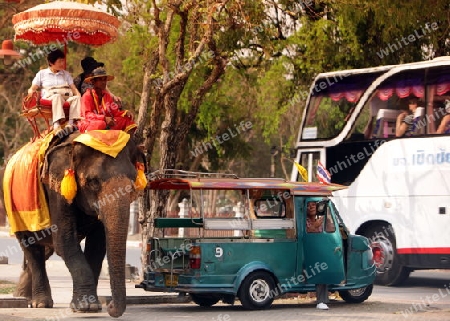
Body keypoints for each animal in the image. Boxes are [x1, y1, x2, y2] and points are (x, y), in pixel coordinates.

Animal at [1, 131, 145, 318]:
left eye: (133, 181)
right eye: (93, 182)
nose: (111, 306)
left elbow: (97, 246)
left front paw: (93, 305)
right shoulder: (56, 189)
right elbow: (65, 242)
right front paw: (86, 307)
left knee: (45, 250)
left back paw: (24, 296)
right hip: (14, 209)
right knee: (32, 248)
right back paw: (40, 303)